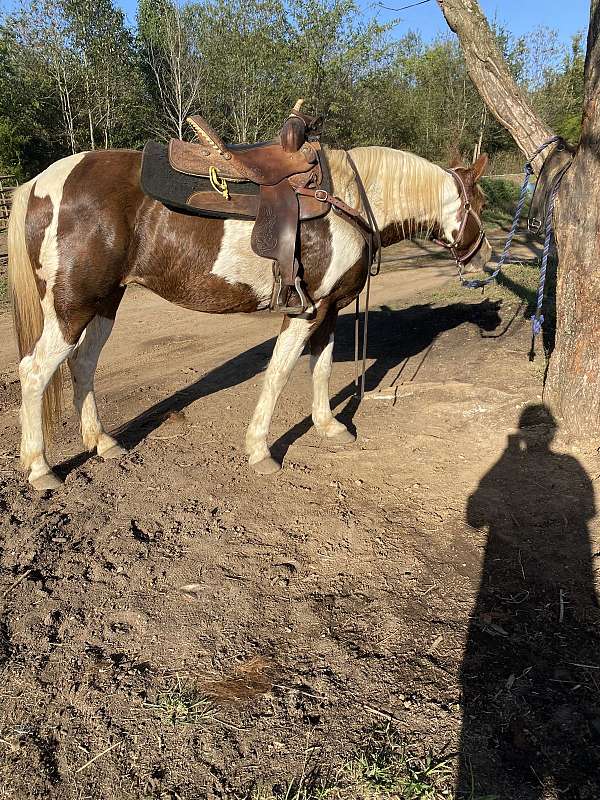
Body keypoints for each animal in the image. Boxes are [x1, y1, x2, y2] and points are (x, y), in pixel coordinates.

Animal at [7, 147, 490, 490]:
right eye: (480, 202)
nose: (483, 257)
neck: (348, 202)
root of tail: (40, 183)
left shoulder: (329, 310)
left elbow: (321, 368)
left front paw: (328, 426)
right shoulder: (306, 310)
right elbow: (278, 374)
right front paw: (260, 450)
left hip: (105, 303)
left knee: (83, 363)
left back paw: (102, 442)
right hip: (72, 308)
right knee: (34, 372)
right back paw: (40, 468)